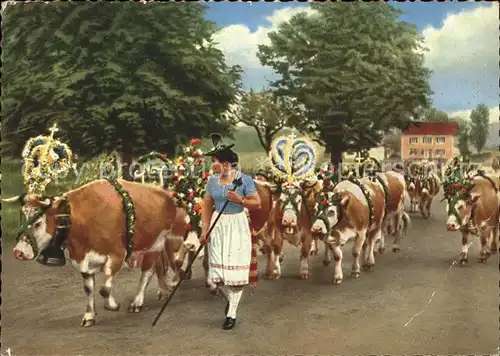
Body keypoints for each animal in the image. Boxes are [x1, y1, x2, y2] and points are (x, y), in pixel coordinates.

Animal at [4, 179, 188, 326]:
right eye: (22, 219)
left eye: (38, 223)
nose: (18, 252)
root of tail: (166, 193)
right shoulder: (83, 261)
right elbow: (89, 289)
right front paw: (89, 316)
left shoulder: (117, 255)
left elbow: (104, 289)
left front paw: (112, 305)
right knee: (159, 266)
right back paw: (163, 290)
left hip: (157, 243)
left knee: (147, 272)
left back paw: (137, 302)